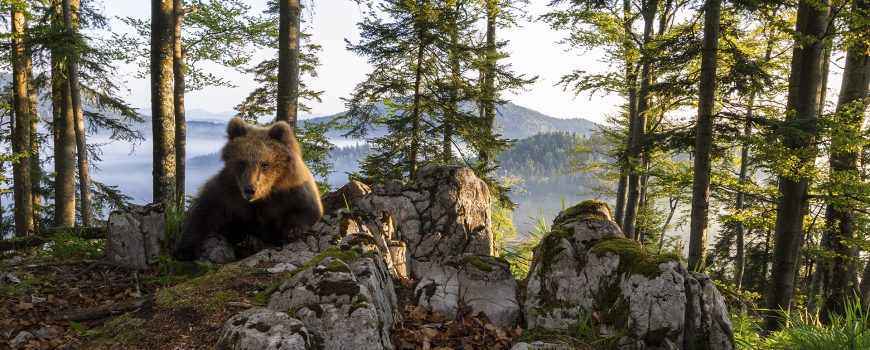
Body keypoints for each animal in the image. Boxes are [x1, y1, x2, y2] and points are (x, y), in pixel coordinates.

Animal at [170, 117, 324, 260]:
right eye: (242, 162)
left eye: (265, 164)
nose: (250, 190)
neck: (264, 196)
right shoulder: (230, 189)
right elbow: (206, 210)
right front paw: (184, 250)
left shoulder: (289, 192)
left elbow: (306, 210)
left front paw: (293, 231)